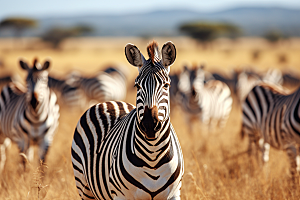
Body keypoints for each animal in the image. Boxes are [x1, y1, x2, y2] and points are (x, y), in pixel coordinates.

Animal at [71, 41, 184, 200]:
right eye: (137, 85)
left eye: (166, 85)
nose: (150, 125)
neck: (153, 157)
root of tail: (109, 102)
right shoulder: (121, 196)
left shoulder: (174, 194)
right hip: (83, 185)